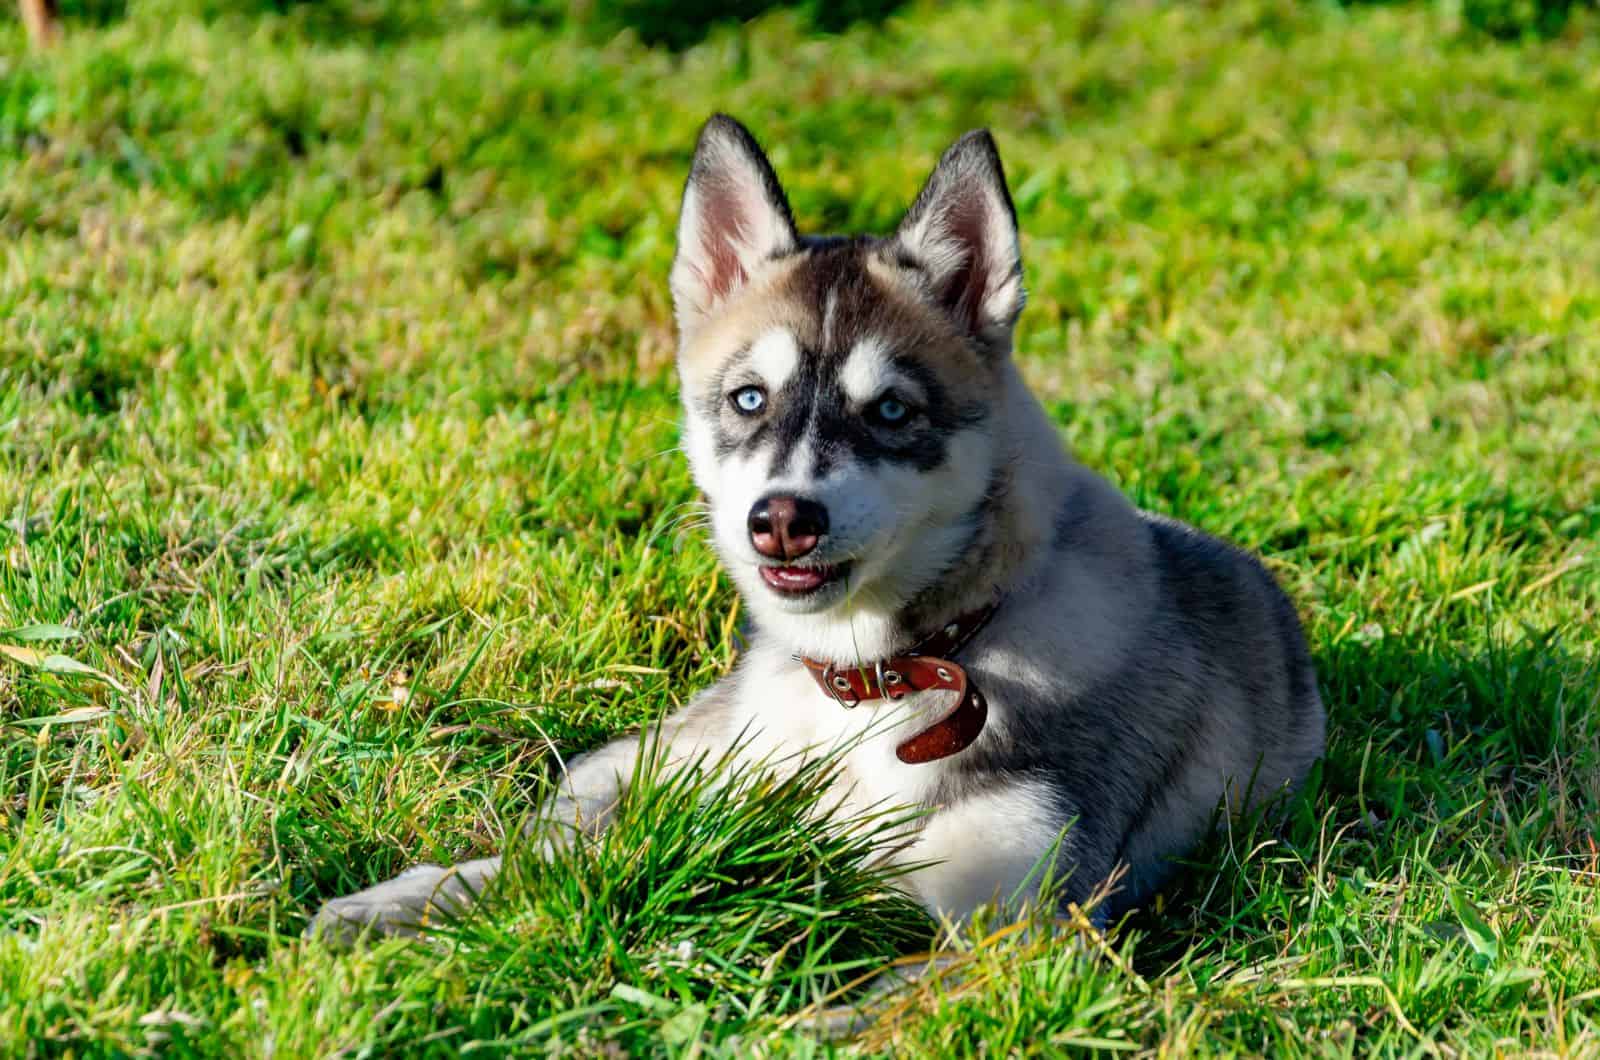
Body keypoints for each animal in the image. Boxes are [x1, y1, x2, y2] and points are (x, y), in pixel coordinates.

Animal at [308, 116, 1324, 947]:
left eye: (891, 411)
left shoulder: (1020, 932)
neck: (874, 683)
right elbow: (566, 860)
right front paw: (404, 901)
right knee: (565, 822)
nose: (783, 520)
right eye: (749, 399)